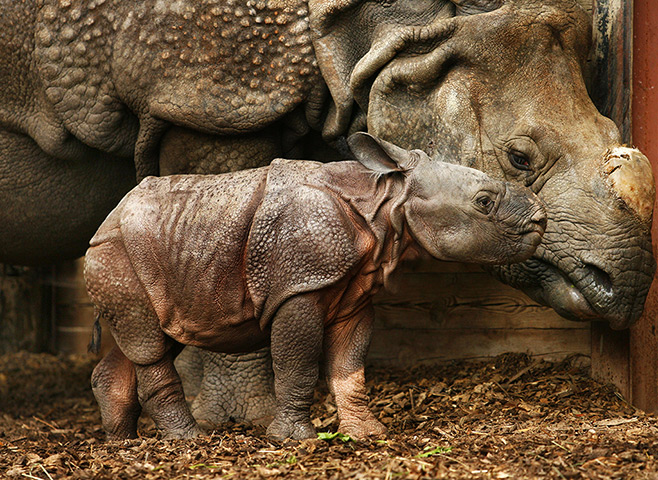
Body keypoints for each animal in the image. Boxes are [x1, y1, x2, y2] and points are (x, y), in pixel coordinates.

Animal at [85, 133, 546, 440]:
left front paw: (368, 434)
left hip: (157, 255)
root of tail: (104, 222)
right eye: (484, 202)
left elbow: (349, 365)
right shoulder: (298, 285)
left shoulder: (355, 294)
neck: (389, 197)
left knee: (153, 338)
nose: (541, 219)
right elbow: (299, 361)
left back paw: (121, 442)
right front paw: (293, 440)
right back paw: (189, 441)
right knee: (149, 345)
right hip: (118, 254)